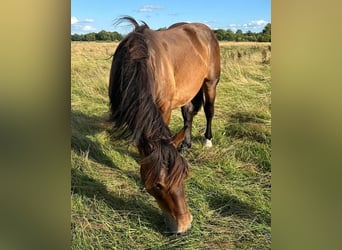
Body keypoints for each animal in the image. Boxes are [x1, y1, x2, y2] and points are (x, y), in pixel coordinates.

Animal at [109, 16, 222, 233]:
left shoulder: (165, 107)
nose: (184, 225)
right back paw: (185, 144)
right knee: (188, 114)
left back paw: (207, 141)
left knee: (209, 111)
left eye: (185, 176)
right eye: (158, 185)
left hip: (210, 82)